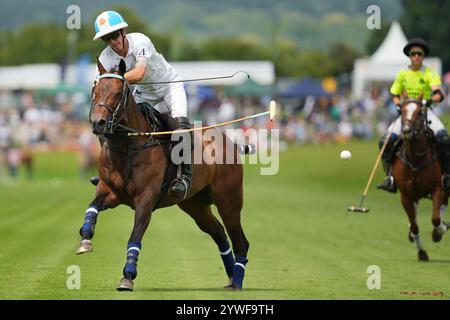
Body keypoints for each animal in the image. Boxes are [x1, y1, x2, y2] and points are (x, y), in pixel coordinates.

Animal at [76, 58, 250, 292]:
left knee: (240, 241)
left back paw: (238, 281)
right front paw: (85, 239)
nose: (98, 123)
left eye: (118, 92)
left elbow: (135, 235)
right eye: (94, 91)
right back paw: (231, 277)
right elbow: (92, 208)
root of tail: (230, 142)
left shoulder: (146, 199)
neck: (129, 144)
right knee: (219, 233)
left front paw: (128, 276)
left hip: (229, 201)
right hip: (195, 205)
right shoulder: (109, 190)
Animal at [390, 97, 450, 260]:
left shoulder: (437, 188)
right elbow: (415, 225)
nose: (406, 131)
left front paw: (439, 232)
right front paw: (421, 251)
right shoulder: (405, 195)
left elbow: (435, 218)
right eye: (402, 111)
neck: (416, 159)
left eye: (419, 112)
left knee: (443, 203)